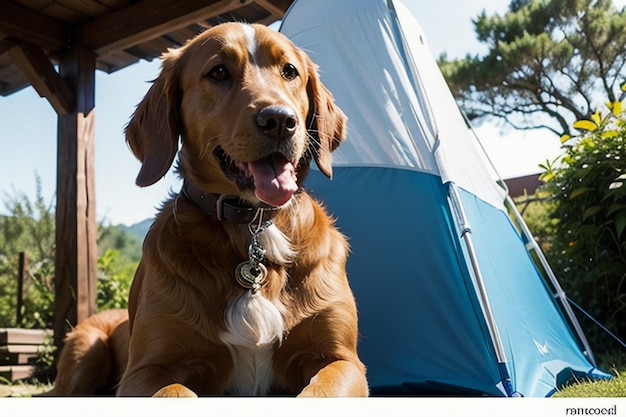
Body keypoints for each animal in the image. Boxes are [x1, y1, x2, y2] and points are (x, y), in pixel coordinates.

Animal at [47, 22, 366, 396]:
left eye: (290, 71)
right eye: (218, 72)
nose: (280, 120)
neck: (253, 224)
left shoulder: (341, 360)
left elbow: (319, 390)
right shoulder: (146, 369)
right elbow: (177, 392)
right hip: (86, 353)